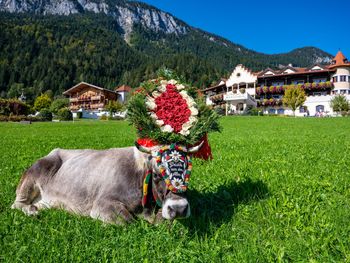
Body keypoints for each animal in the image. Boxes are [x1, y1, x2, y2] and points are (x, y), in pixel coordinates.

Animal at [11, 142, 202, 225]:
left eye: (188, 173)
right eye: (156, 175)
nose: (178, 209)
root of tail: (52, 152)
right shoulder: (102, 204)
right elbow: (128, 221)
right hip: (31, 178)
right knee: (16, 204)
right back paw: (31, 211)